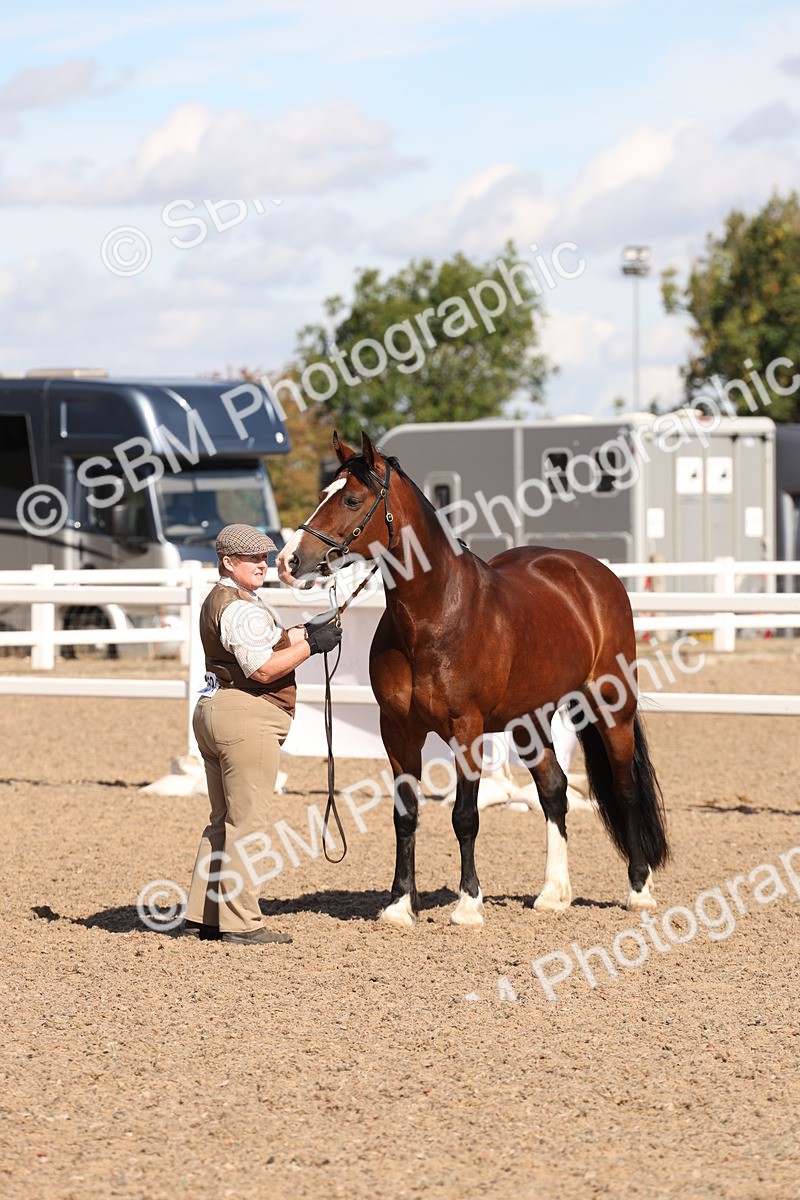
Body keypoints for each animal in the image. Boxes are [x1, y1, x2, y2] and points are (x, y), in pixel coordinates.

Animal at [276, 431, 669, 928]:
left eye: (351, 499)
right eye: (323, 494)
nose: (289, 561)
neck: (436, 614)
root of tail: (594, 574)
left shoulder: (467, 729)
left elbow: (465, 816)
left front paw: (467, 903)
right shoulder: (398, 732)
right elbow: (405, 815)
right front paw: (399, 904)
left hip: (611, 706)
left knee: (625, 790)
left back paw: (639, 889)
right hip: (529, 722)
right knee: (554, 791)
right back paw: (554, 894)